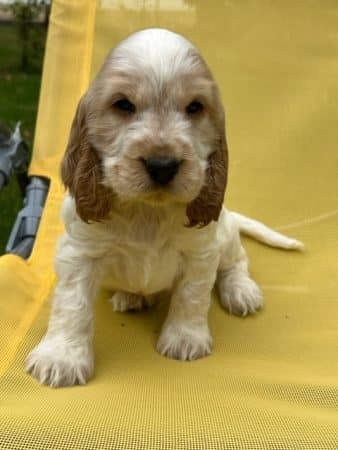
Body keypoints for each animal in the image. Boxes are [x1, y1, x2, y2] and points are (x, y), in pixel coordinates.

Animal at [25, 28, 302, 386]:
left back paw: (241, 291)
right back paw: (132, 296)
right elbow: (73, 305)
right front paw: (61, 357)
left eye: (195, 107)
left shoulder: (201, 252)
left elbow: (191, 297)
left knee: (237, 263)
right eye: (123, 104)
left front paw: (185, 339)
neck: (148, 212)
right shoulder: (79, 253)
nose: (162, 165)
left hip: (226, 236)